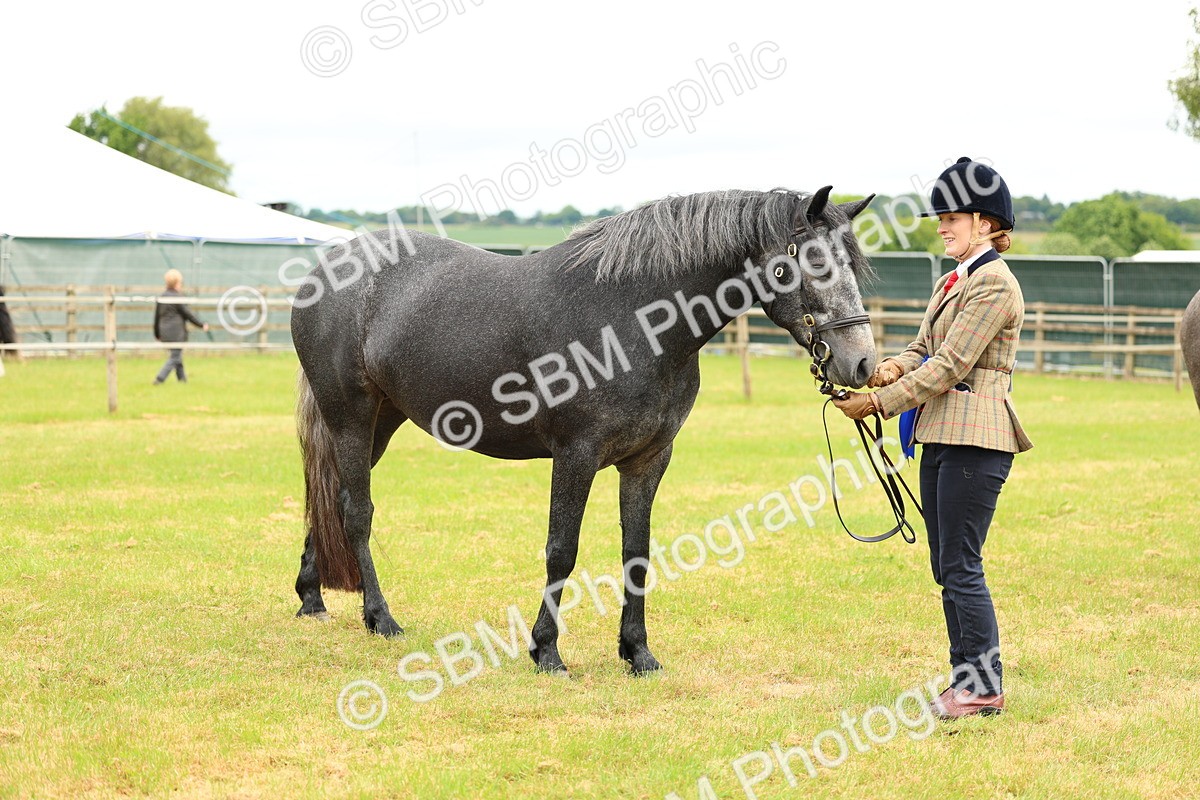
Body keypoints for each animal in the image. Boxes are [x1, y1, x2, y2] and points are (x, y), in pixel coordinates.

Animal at [290, 185, 877, 675]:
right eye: (813, 262)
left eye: (853, 263)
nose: (863, 363)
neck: (632, 320)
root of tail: (327, 270)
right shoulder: (576, 455)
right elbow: (562, 549)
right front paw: (546, 651)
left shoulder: (648, 460)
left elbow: (637, 551)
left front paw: (638, 653)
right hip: (350, 415)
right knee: (356, 510)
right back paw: (380, 617)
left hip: (382, 421)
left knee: (330, 496)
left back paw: (312, 597)